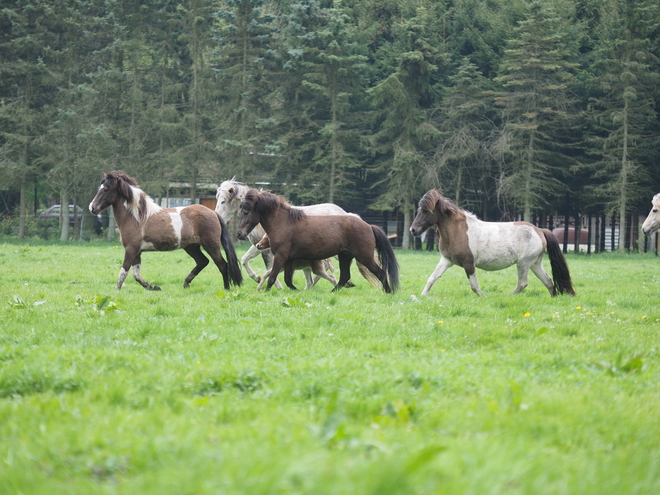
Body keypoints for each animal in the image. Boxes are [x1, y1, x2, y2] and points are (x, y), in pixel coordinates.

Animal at [88, 172, 242, 292]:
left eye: (106, 189)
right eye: (99, 188)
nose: (92, 208)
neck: (136, 217)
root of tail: (214, 213)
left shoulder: (131, 249)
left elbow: (123, 272)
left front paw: (116, 290)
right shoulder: (137, 252)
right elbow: (136, 275)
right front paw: (153, 287)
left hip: (211, 245)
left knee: (222, 264)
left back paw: (226, 288)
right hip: (191, 247)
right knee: (203, 261)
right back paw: (186, 283)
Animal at [217, 178, 350, 288]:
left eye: (223, 201)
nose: (217, 217)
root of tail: (346, 214)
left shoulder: (268, 249)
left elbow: (269, 266)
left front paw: (276, 285)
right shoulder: (259, 245)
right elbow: (245, 259)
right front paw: (258, 278)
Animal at [238, 188, 402, 292]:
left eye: (246, 212)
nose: (239, 234)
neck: (283, 222)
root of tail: (369, 226)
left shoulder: (280, 256)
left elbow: (272, 276)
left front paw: (265, 291)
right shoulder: (289, 259)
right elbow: (287, 279)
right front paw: (297, 291)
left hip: (363, 257)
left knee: (380, 272)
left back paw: (388, 292)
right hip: (345, 256)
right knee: (344, 276)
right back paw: (333, 292)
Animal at [410, 190, 576, 298]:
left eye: (425, 211)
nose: (413, 230)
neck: (458, 231)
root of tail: (539, 230)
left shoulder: (468, 264)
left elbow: (474, 286)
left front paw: (484, 297)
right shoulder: (446, 261)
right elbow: (432, 278)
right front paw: (422, 296)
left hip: (523, 263)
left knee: (522, 283)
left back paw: (509, 296)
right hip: (535, 264)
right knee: (548, 281)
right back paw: (553, 297)